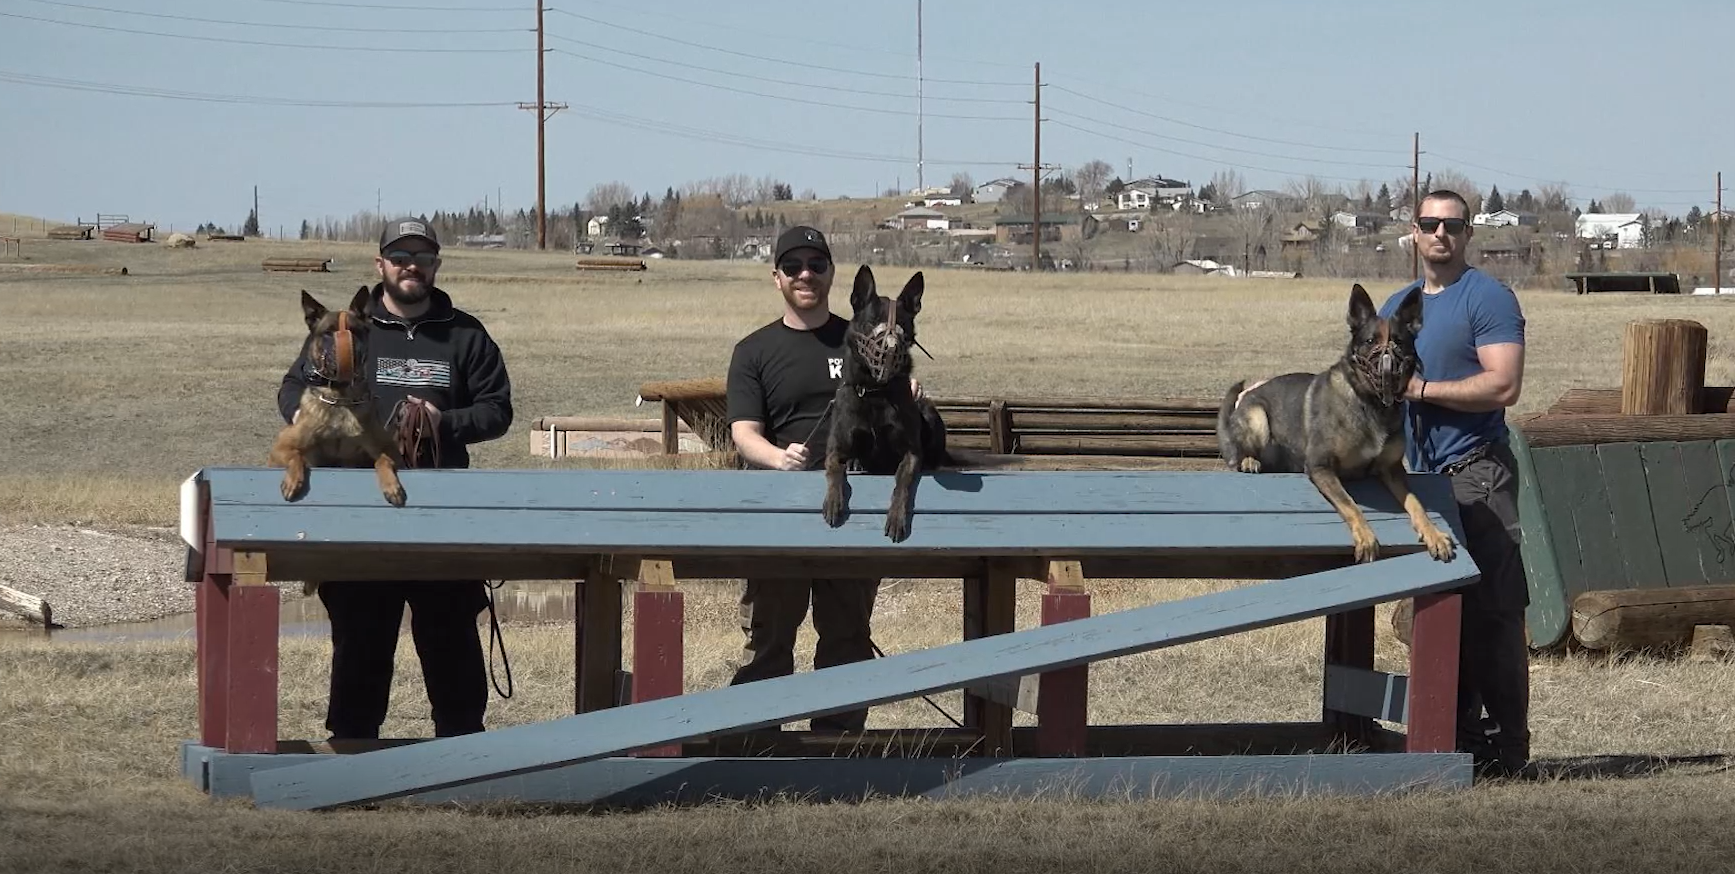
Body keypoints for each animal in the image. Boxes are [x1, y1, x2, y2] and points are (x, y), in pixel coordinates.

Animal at [267, 286, 405, 506]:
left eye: (355, 331)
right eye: (327, 333)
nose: (348, 352)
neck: (341, 399)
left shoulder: (387, 449)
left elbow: (384, 459)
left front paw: (392, 486)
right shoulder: (282, 447)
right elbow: (297, 456)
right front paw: (293, 481)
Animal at [822, 263, 957, 544]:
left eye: (903, 325)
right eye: (872, 322)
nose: (891, 347)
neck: (875, 392)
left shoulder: (910, 453)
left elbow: (902, 483)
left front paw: (896, 517)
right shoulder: (836, 448)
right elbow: (834, 469)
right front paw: (834, 500)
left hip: (928, 411)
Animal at [1214, 282, 1457, 561]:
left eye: (1398, 341)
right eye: (1370, 341)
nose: (1387, 362)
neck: (1370, 404)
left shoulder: (1392, 469)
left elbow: (1416, 503)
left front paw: (1433, 533)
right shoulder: (1321, 466)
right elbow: (1350, 504)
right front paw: (1366, 536)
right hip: (1258, 419)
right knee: (1237, 456)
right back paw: (1249, 460)